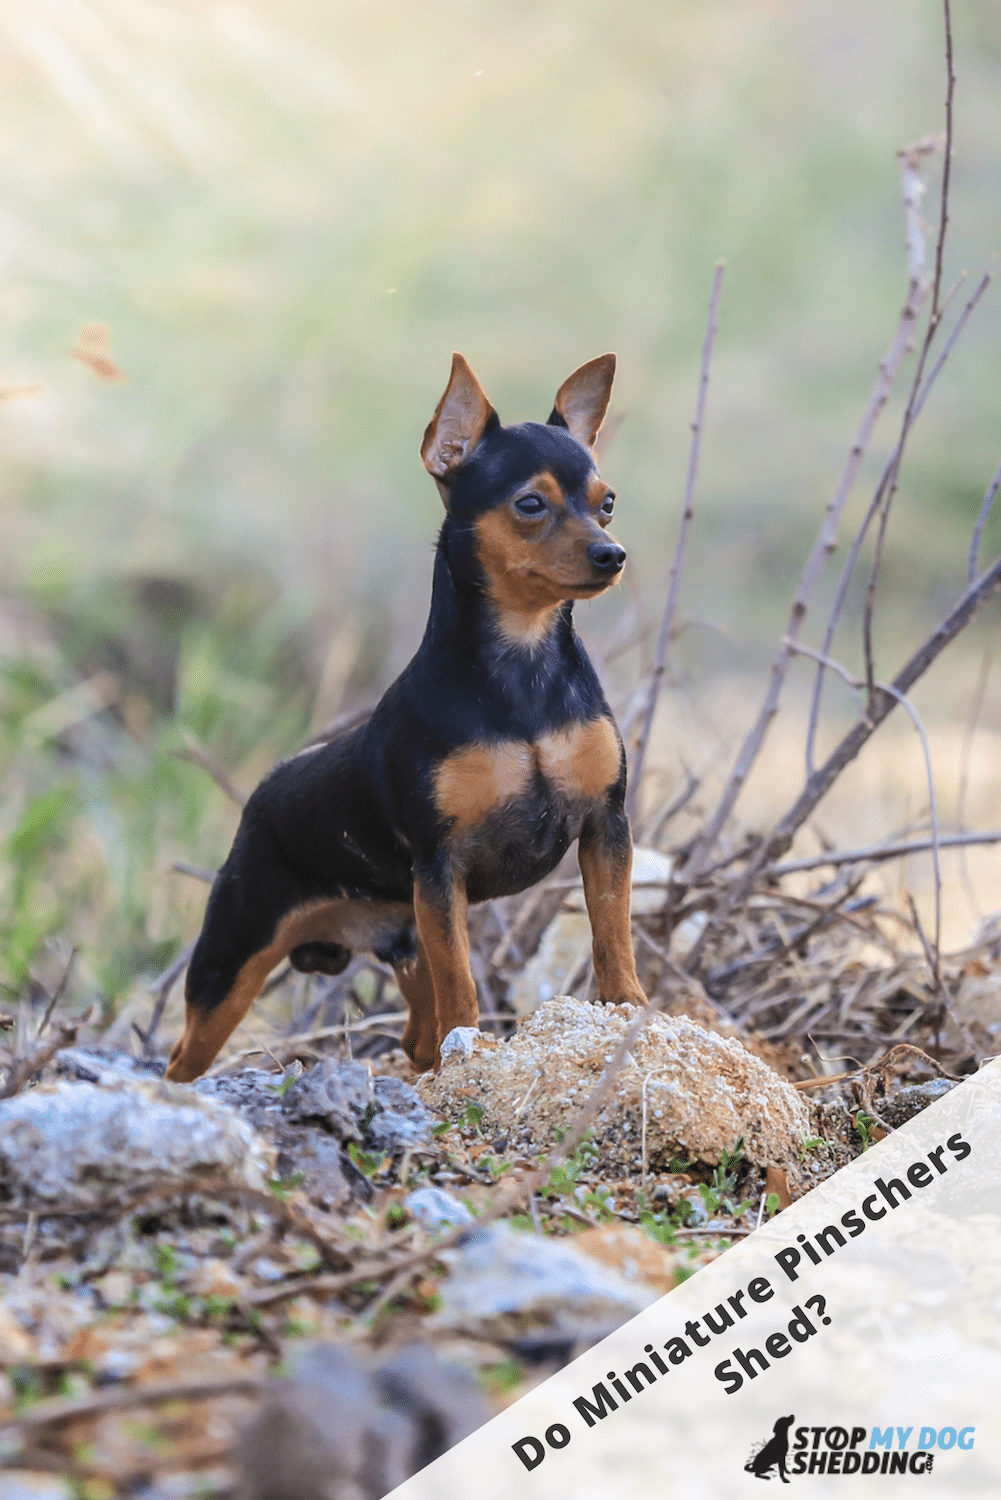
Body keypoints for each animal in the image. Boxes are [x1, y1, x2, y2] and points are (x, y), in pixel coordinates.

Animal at [164, 351, 645, 1080]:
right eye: (529, 505)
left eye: (607, 504)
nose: (610, 555)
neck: (523, 666)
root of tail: (264, 791)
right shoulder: (440, 868)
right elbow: (462, 981)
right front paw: (470, 1049)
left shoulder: (605, 827)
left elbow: (612, 935)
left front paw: (630, 1011)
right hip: (230, 963)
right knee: (181, 1057)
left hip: (402, 936)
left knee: (416, 1035)